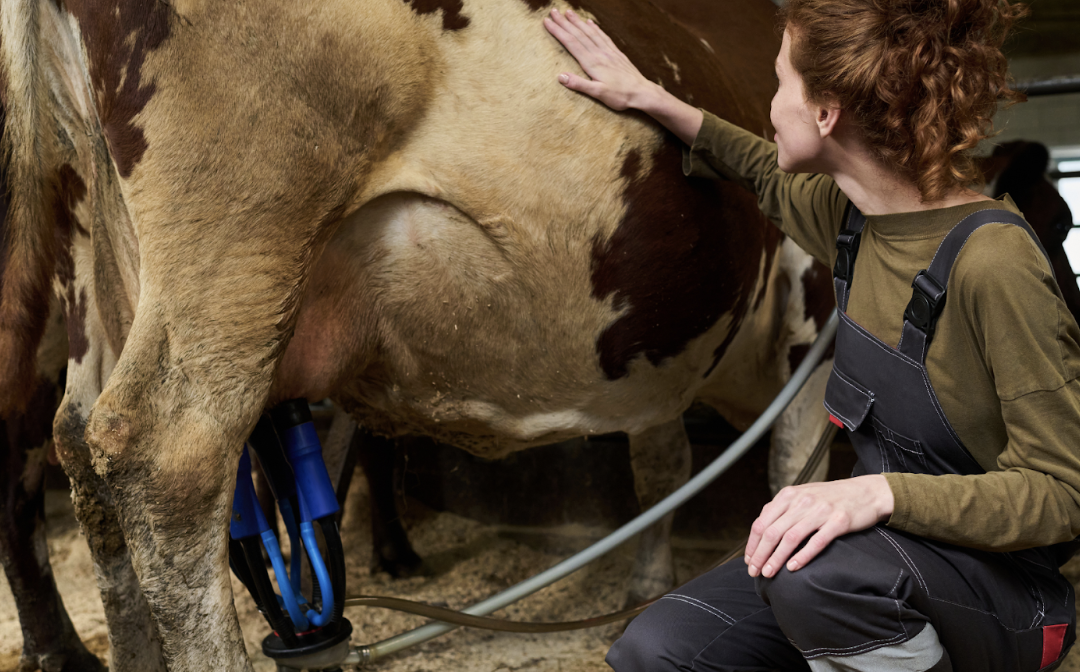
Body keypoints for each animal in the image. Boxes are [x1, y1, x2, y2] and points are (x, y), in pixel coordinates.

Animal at [0, 0, 835, 669]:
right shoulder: (810, 308)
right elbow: (791, 469)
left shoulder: (656, 355)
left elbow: (663, 466)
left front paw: (645, 586)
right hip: (237, 238)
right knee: (165, 458)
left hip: (95, 254)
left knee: (78, 444)